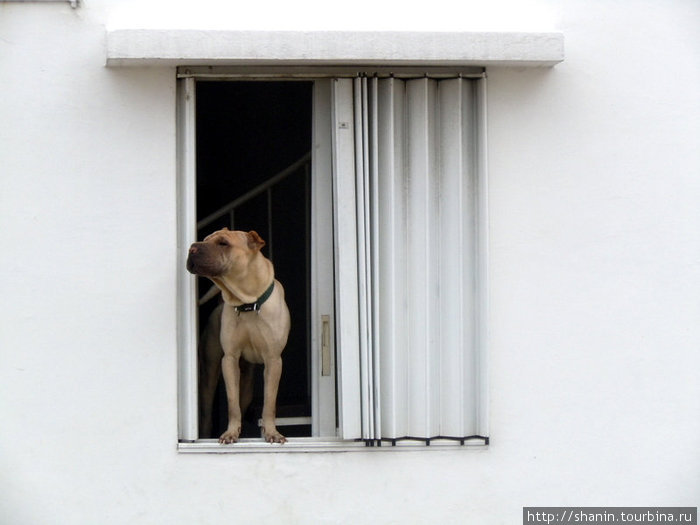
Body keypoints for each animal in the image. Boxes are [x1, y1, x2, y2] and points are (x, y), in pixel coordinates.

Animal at [186, 228, 290, 442]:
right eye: (205, 239)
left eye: (223, 243)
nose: (192, 248)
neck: (247, 301)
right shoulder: (230, 359)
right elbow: (232, 404)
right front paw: (231, 432)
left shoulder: (273, 360)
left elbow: (269, 402)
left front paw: (272, 432)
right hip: (209, 372)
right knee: (208, 412)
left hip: (248, 383)